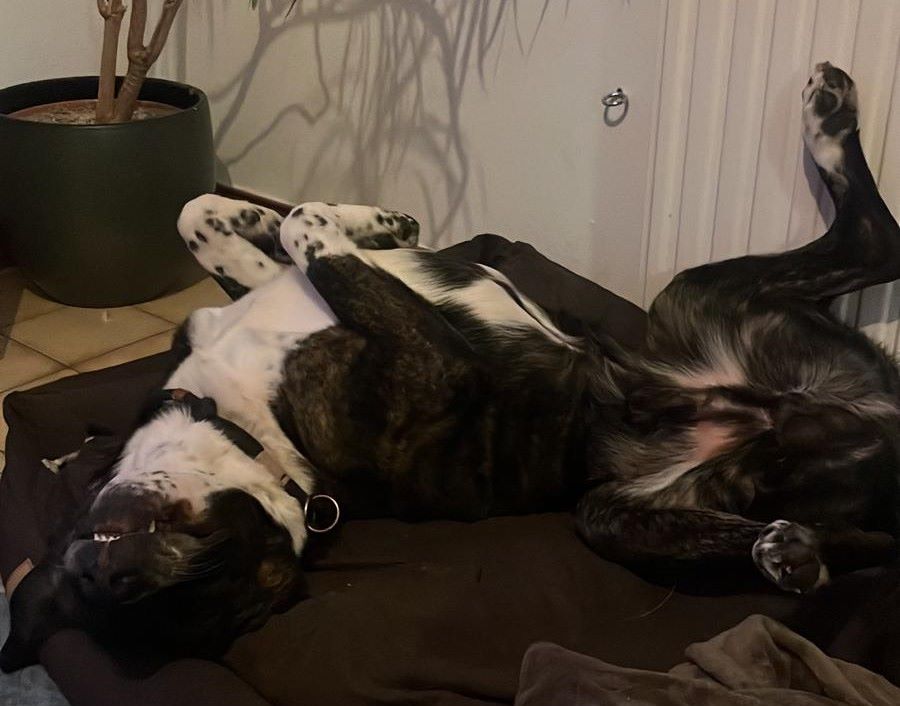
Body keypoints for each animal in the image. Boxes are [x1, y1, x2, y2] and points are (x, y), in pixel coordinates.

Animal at [2, 63, 899, 669]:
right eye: (225, 557)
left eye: (208, 540)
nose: (118, 570)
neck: (253, 435)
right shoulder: (436, 363)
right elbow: (304, 230)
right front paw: (342, 220)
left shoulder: (245, 300)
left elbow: (212, 216)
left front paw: (373, 220)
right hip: (626, 494)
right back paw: (788, 552)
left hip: (704, 303)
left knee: (873, 239)